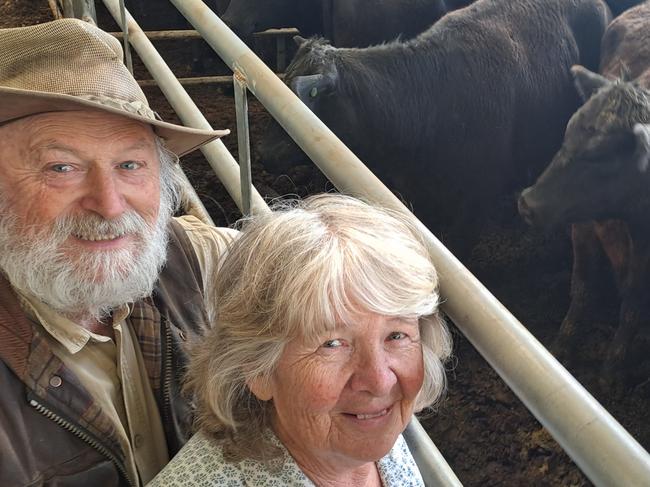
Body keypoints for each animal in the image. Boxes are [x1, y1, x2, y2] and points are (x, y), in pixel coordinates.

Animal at [516, 0, 648, 388]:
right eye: (569, 129)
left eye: (601, 155)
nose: (527, 204)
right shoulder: (583, 224)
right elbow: (581, 287)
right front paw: (561, 347)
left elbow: (632, 303)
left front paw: (612, 370)